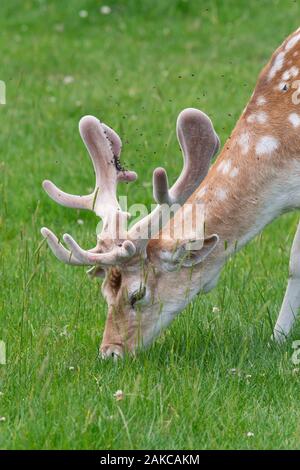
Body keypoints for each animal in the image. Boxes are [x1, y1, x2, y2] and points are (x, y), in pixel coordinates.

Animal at [42, 27, 300, 358]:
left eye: (137, 294)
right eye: (104, 292)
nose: (109, 352)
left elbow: (294, 261)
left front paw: (279, 338)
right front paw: (278, 338)